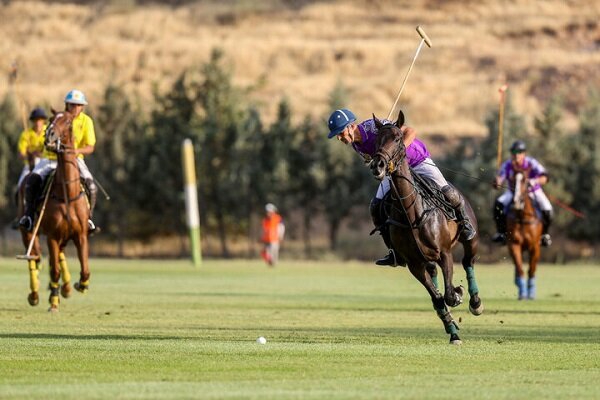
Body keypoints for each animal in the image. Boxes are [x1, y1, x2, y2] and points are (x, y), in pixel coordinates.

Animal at [370, 111, 482, 346]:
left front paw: (458, 293)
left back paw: (476, 303)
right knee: (435, 278)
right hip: (426, 259)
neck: (411, 212)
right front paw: (453, 332)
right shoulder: (414, 264)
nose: (378, 165)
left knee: (468, 261)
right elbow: (438, 299)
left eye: (397, 138)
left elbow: (448, 294)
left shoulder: (445, 253)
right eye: (376, 141)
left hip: (470, 239)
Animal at [506, 164, 544, 298]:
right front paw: (522, 293)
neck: (522, 217)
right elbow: (520, 268)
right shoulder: (514, 245)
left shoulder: (535, 246)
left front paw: (531, 292)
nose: (516, 202)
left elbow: (531, 269)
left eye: (525, 181)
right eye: (512, 179)